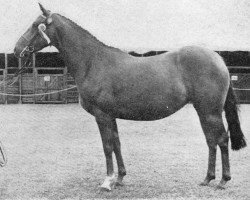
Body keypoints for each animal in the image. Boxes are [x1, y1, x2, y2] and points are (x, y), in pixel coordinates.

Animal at [14, 3, 246, 191]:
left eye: (36, 25)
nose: (17, 50)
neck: (93, 62)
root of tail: (218, 58)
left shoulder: (102, 116)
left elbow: (107, 146)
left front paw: (107, 181)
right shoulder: (111, 116)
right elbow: (117, 143)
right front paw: (119, 178)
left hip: (210, 111)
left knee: (221, 139)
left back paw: (223, 181)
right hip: (203, 111)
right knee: (211, 140)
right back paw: (207, 179)